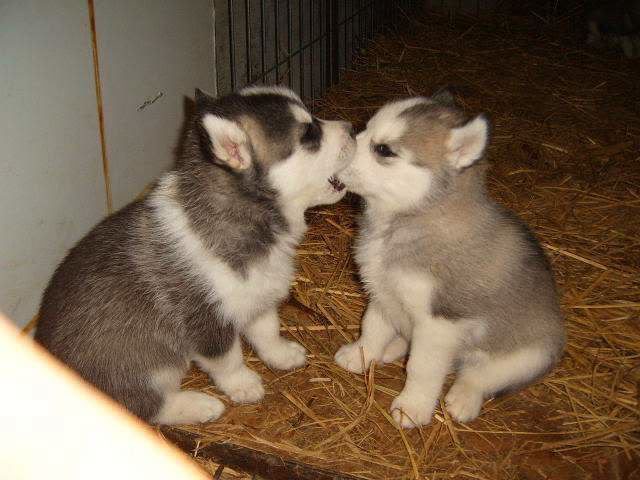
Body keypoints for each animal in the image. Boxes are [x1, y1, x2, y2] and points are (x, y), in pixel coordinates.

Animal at [35, 86, 356, 424]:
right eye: (309, 134)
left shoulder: (257, 294)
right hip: (145, 372)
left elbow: (267, 328)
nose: (352, 128)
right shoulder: (206, 321)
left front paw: (280, 354)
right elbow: (228, 358)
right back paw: (201, 405)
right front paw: (243, 384)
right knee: (148, 408)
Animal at [336, 93, 564, 428]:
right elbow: (372, 328)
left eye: (384, 150)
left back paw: (463, 399)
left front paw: (413, 406)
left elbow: (422, 367)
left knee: (480, 376)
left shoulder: (439, 323)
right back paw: (395, 347)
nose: (338, 140)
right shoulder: (382, 292)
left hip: (530, 354)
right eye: (364, 128)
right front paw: (359, 355)